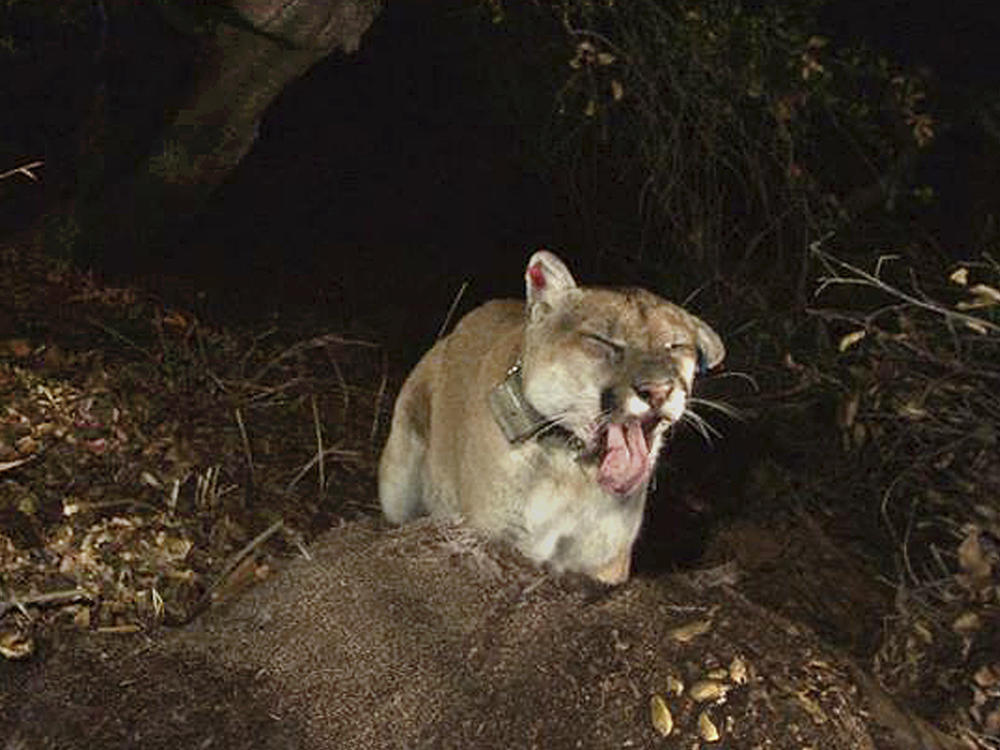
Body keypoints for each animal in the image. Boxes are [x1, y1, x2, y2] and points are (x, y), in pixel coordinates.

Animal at [378, 253, 724, 588]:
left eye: (676, 346)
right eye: (602, 340)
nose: (658, 390)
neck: (570, 474)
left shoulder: (603, 566)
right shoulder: (494, 539)